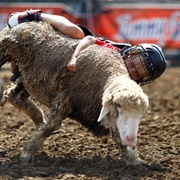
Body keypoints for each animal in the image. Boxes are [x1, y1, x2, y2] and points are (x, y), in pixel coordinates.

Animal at [0, 22, 149, 167]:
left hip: (31, 80)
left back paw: (37, 117)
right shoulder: (64, 97)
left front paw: (134, 160)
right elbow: (51, 126)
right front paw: (27, 154)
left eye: (141, 114)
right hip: (5, 49)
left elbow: (118, 135)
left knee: (14, 96)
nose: (131, 139)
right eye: (118, 106)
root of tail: (29, 23)